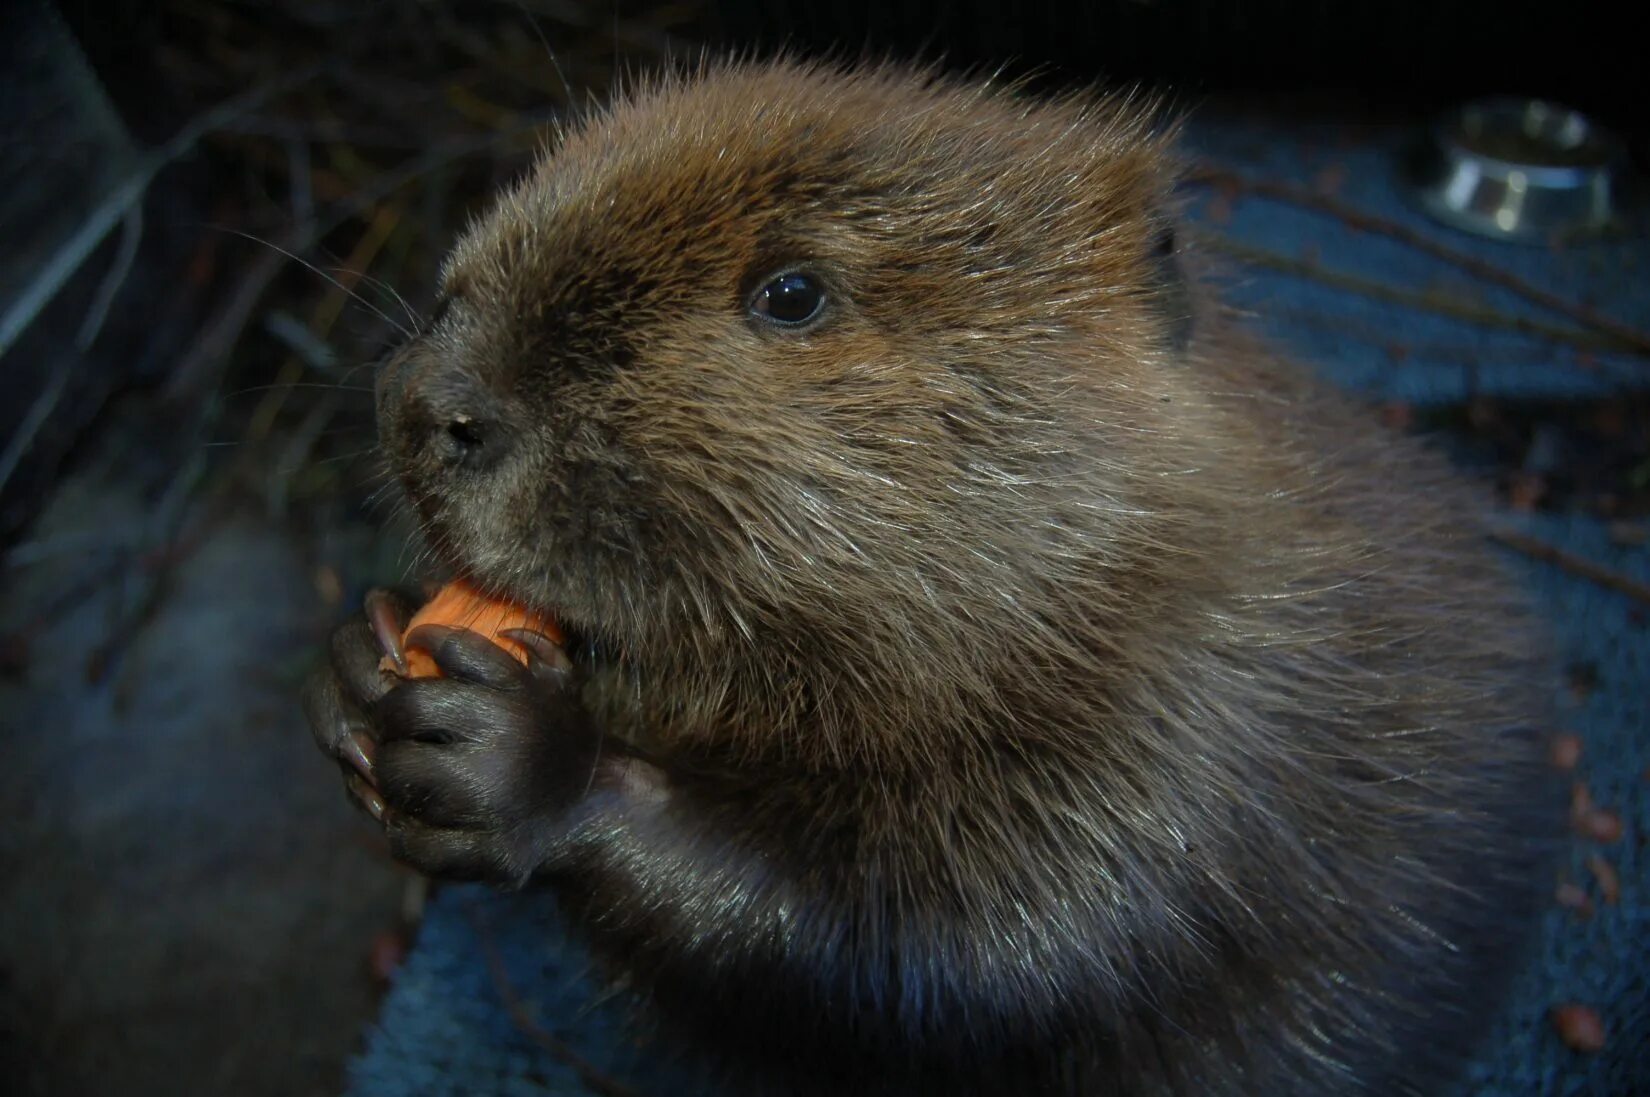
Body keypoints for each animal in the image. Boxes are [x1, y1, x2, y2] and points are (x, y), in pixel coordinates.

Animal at [303, 61, 1551, 1095]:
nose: (431, 400)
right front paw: (359, 665)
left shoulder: (1188, 730)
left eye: (792, 293)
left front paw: (508, 753)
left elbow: (955, 948)